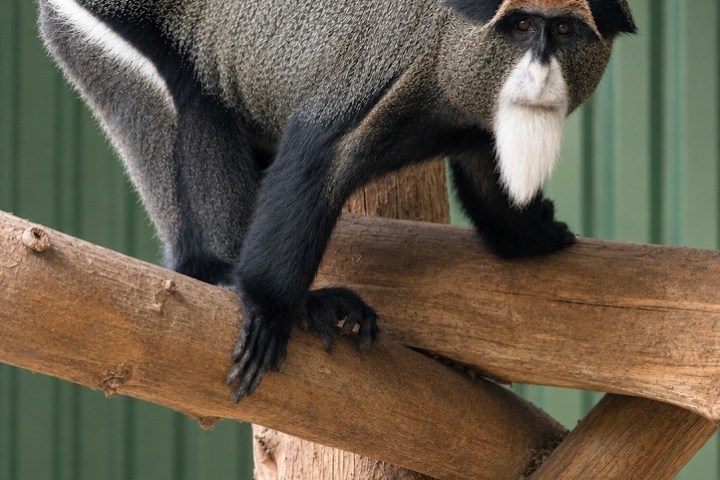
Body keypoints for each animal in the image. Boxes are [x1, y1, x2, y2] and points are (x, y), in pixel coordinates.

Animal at [39, 0, 635, 401]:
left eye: (564, 28)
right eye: (522, 25)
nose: (540, 69)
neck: (454, 47)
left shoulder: (477, 122)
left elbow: (491, 188)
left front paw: (537, 236)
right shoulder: (377, 85)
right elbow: (313, 163)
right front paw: (269, 307)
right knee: (191, 105)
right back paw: (222, 273)